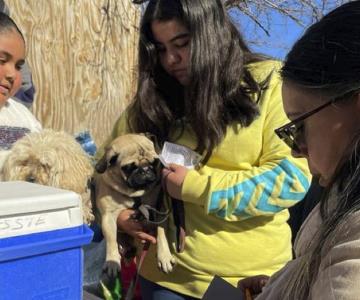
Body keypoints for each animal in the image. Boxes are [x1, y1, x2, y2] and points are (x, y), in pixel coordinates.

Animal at [94, 134, 176, 276]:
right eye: (129, 167)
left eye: (154, 162)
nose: (145, 169)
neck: (136, 193)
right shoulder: (108, 217)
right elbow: (111, 239)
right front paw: (112, 261)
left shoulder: (159, 211)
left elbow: (161, 233)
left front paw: (164, 256)